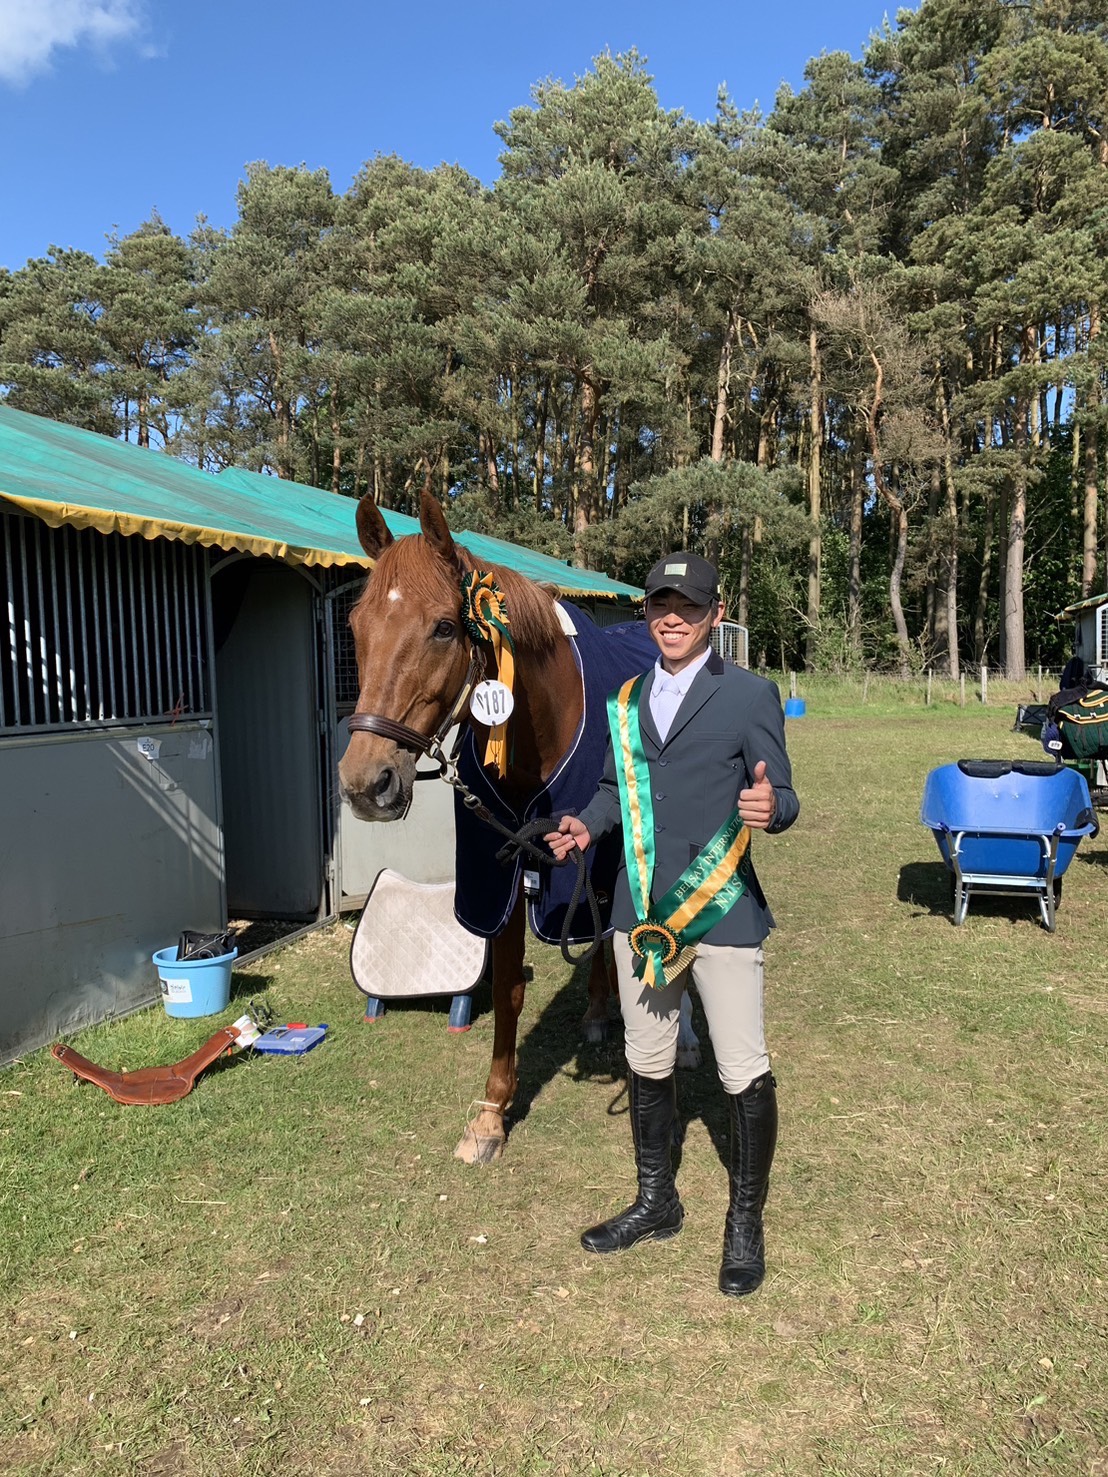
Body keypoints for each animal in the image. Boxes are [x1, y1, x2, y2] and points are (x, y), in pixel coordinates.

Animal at [338, 490, 699, 1164]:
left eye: (444, 627)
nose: (365, 783)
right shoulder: (500, 871)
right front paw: (491, 1113)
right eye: (356, 626)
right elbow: (507, 987)